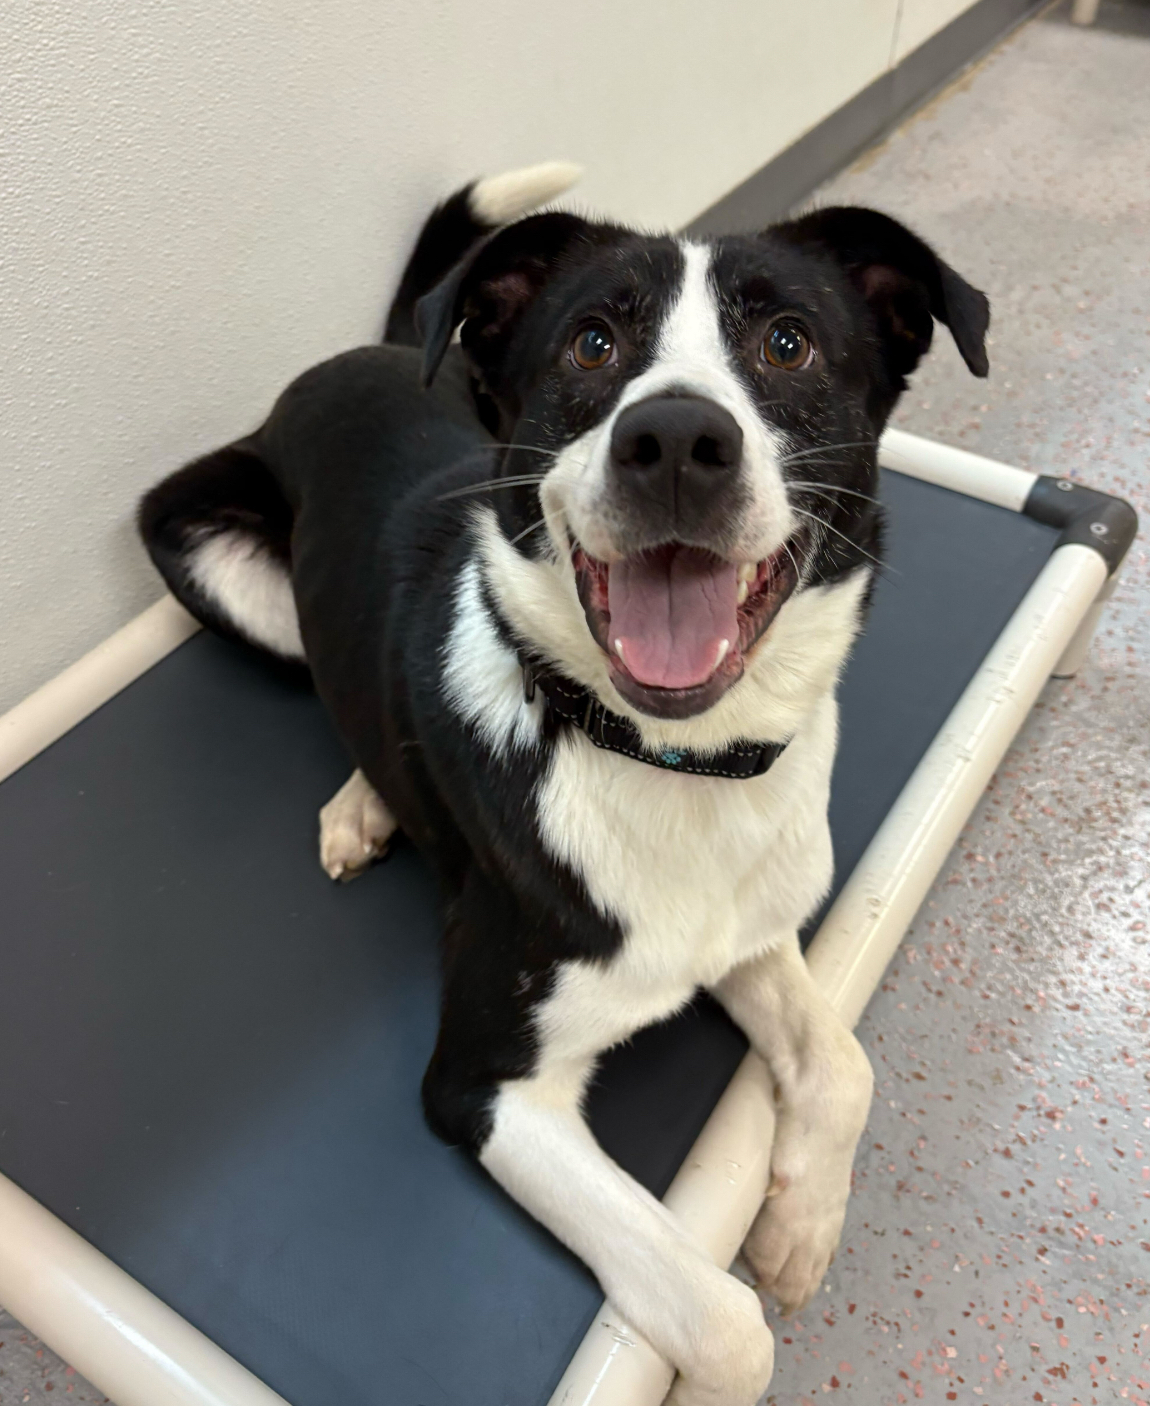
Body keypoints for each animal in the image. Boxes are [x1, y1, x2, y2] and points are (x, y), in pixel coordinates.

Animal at [139, 161, 990, 1404]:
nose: (676, 438)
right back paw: (361, 800)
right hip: (210, 556)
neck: (661, 755)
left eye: (787, 342)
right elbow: (723, 1322)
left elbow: (842, 1063)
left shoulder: (746, 932)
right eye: (593, 342)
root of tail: (363, 350)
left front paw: (797, 1229)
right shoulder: (485, 1086)